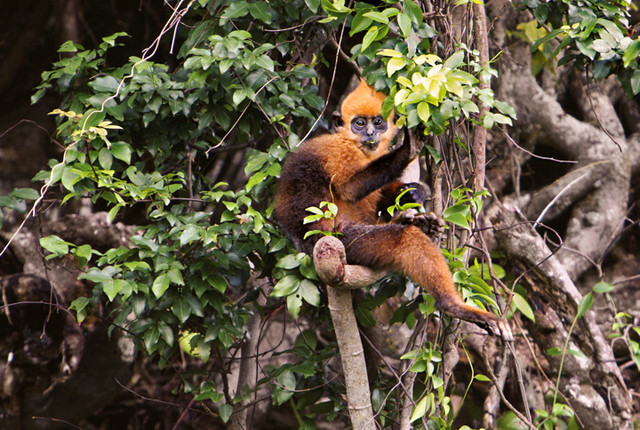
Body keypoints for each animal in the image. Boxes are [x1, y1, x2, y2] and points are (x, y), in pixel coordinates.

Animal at [274, 79, 511, 339]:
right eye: (359, 123)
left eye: (378, 122)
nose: (370, 133)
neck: (353, 143)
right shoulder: (339, 152)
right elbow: (349, 189)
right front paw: (408, 149)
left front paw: (413, 192)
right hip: (340, 240)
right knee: (401, 239)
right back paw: (452, 304)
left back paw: (418, 221)